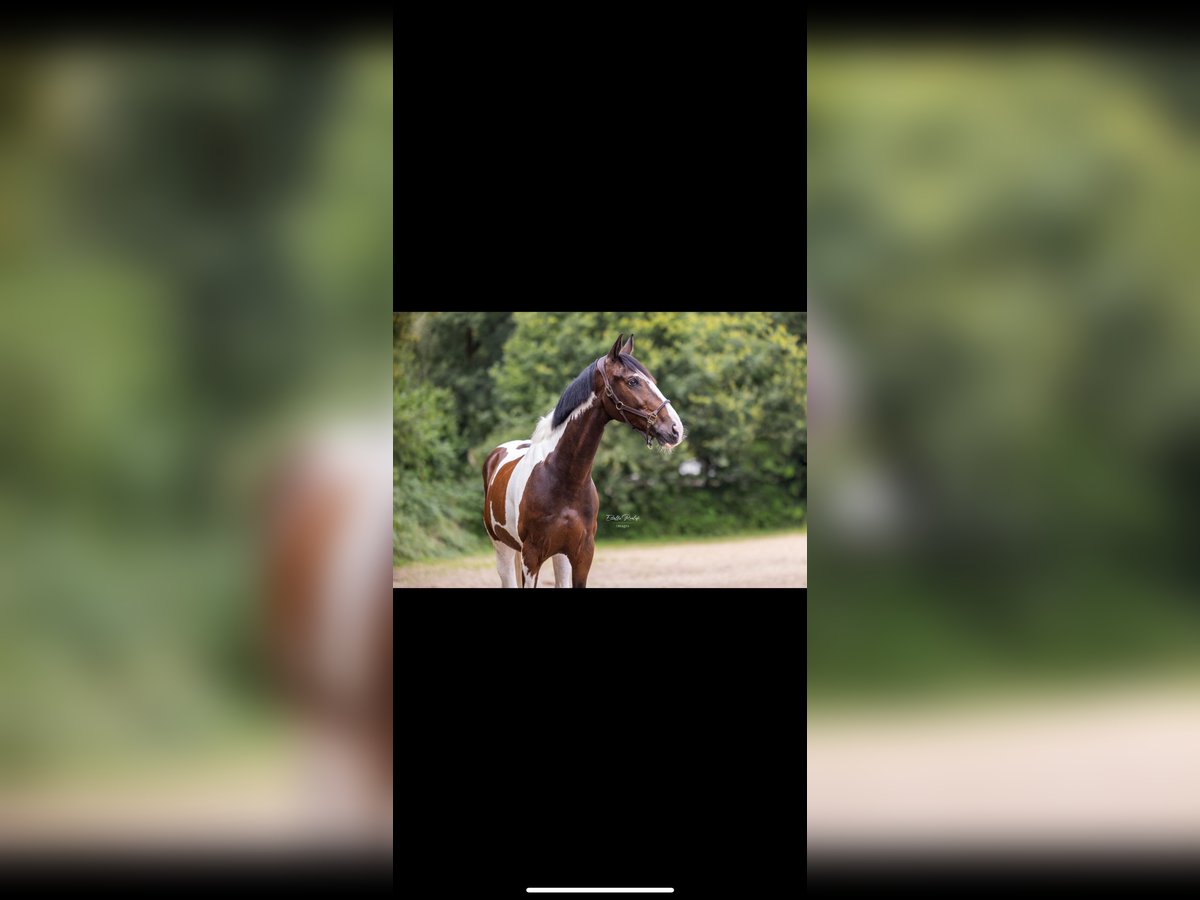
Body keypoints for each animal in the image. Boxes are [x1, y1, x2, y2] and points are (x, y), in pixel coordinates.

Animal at [482, 334, 685, 588]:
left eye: (653, 380)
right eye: (632, 381)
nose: (676, 429)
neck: (564, 479)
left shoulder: (582, 555)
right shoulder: (531, 556)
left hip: (559, 556)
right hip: (502, 548)